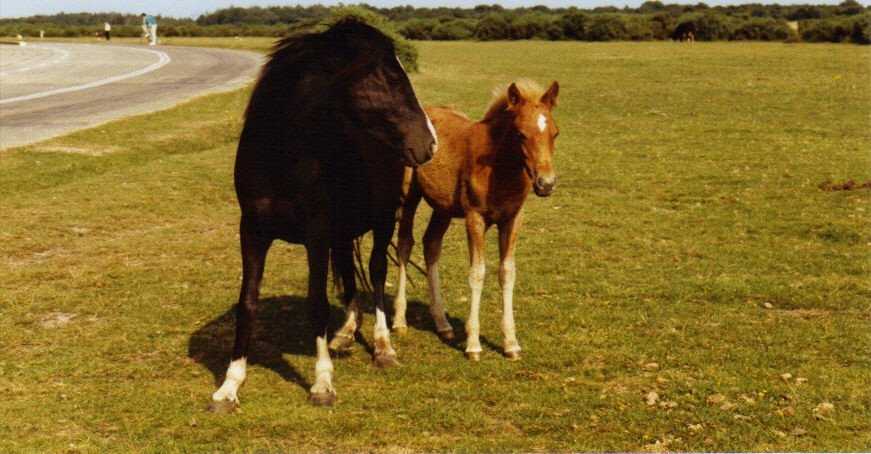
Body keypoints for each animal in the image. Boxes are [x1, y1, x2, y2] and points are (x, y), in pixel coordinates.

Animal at [209, 18, 440, 412]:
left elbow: (316, 304)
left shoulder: (316, 233)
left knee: (376, 273)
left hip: (381, 221)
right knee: (347, 270)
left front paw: (322, 383)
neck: (279, 158)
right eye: (393, 78)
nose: (430, 142)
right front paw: (230, 384)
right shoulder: (252, 231)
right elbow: (247, 303)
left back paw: (382, 347)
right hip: (342, 230)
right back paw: (346, 332)